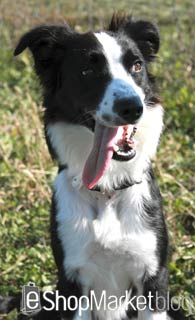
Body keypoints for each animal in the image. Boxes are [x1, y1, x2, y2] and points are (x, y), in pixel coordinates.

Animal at [0, 14, 186, 320]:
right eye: (87, 71)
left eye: (137, 66)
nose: (132, 107)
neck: (107, 189)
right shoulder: (73, 282)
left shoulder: (153, 279)